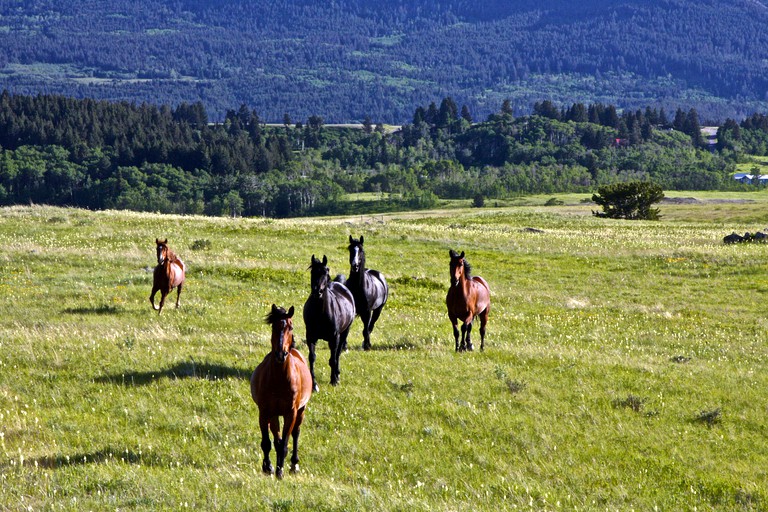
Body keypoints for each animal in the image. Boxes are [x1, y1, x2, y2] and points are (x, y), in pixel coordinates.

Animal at [250, 304, 314, 480]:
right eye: (274, 326)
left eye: (290, 327)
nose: (281, 354)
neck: (279, 379)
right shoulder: (265, 411)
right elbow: (267, 443)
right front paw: (268, 467)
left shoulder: (290, 413)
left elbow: (285, 443)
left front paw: (280, 471)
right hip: (273, 415)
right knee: (275, 439)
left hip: (300, 411)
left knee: (295, 433)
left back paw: (294, 465)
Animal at [304, 256, 356, 392]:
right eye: (312, 272)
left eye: (325, 273)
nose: (317, 292)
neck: (320, 313)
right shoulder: (310, 337)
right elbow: (312, 357)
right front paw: (314, 385)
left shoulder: (334, 337)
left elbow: (333, 359)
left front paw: (334, 380)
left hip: (344, 333)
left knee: (337, 354)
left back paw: (337, 375)